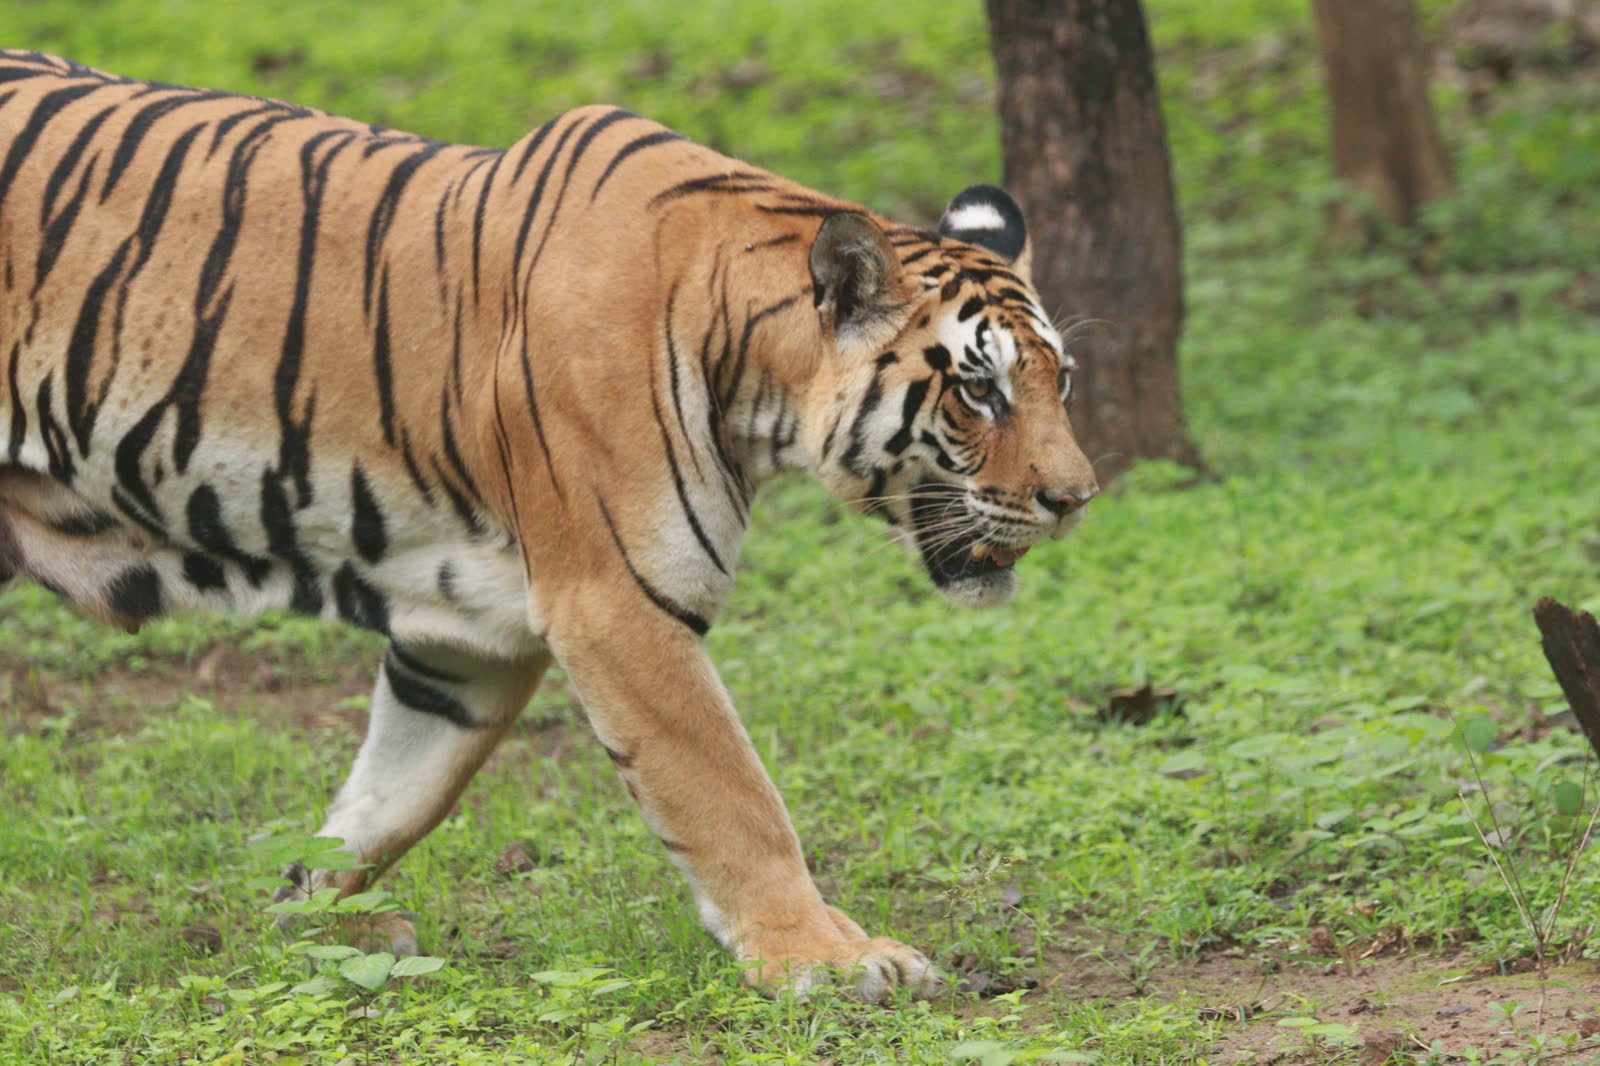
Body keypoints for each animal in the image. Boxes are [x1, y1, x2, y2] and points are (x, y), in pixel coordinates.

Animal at [0, 50, 1098, 1001]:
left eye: (1059, 380)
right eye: (979, 391)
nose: (1077, 497)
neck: (750, 364)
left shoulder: (468, 635)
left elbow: (389, 798)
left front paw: (308, 922)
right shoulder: (616, 604)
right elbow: (732, 794)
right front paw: (826, 957)